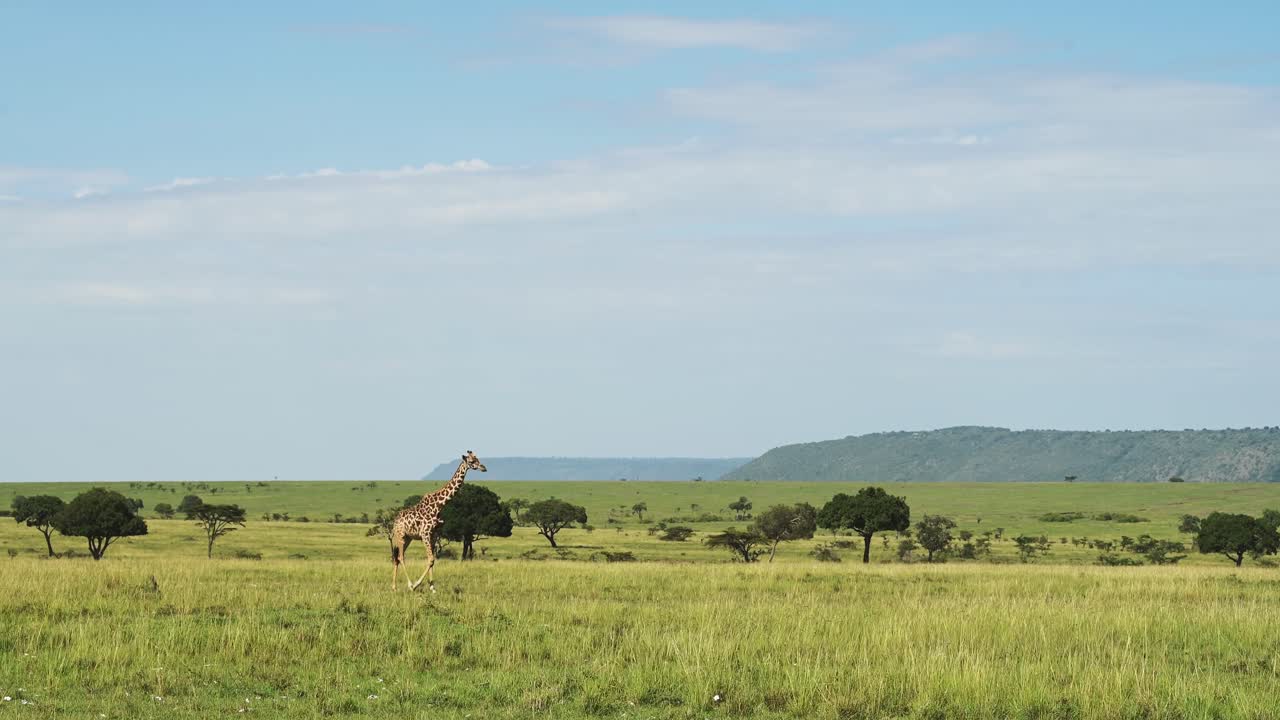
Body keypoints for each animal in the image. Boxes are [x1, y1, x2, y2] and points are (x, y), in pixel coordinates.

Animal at [391, 450, 487, 592]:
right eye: (471, 461)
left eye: (478, 458)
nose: (483, 468)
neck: (440, 505)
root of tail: (394, 522)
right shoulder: (425, 534)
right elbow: (431, 559)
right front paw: (417, 584)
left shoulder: (434, 534)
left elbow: (432, 560)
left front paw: (432, 588)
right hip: (400, 536)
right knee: (400, 557)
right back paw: (409, 585)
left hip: (408, 538)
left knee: (397, 558)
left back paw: (394, 587)